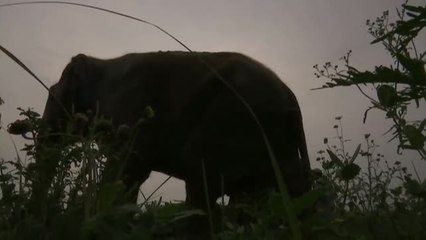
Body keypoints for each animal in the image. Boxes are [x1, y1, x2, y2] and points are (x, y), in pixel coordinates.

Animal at [40, 51, 312, 210]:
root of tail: (293, 100)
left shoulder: (132, 111)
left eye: (51, 95)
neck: (101, 63)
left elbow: (126, 169)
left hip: (233, 123)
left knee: (204, 185)